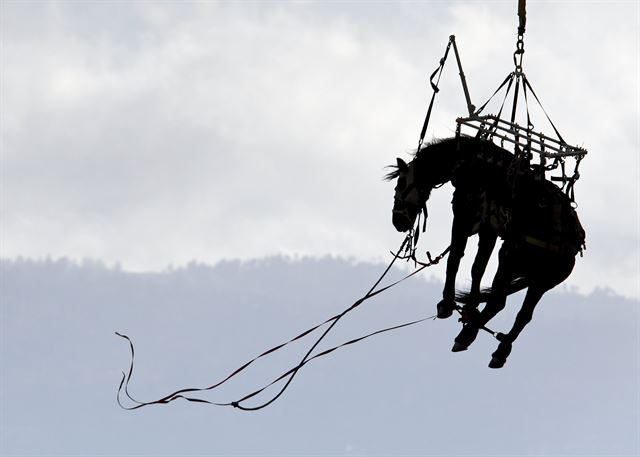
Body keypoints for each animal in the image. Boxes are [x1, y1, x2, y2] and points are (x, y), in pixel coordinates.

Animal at [384, 134, 584, 366]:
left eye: (400, 183)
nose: (397, 221)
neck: (471, 162)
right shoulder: (489, 230)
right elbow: (477, 267)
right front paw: (469, 307)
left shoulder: (464, 216)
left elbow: (456, 258)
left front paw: (447, 303)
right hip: (540, 280)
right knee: (523, 314)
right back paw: (499, 347)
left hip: (510, 257)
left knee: (498, 301)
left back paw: (467, 335)